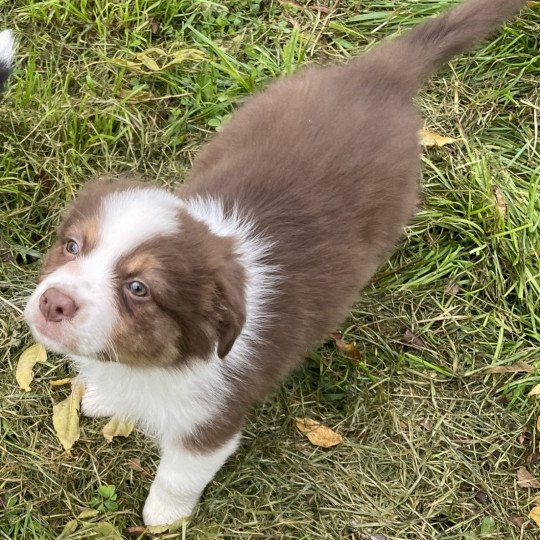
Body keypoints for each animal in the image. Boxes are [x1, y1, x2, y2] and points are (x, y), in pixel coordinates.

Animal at [25, 0, 528, 524]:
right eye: (72, 247)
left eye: (138, 289)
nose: (54, 303)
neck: (158, 365)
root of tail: (377, 77)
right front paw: (104, 396)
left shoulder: (212, 421)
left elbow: (180, 474)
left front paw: (165, 517)